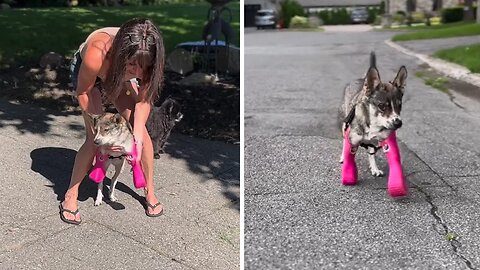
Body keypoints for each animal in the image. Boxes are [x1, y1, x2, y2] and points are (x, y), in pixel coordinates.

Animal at [338, 51, 408, 197]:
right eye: (382, 106)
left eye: (399, 105)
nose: (398, 123)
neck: (373, 124)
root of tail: (362, 79)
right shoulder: (352, 139)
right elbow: (349, 153)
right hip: (344, 123)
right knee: (344, 139)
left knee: (371, 151)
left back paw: (374, 167)